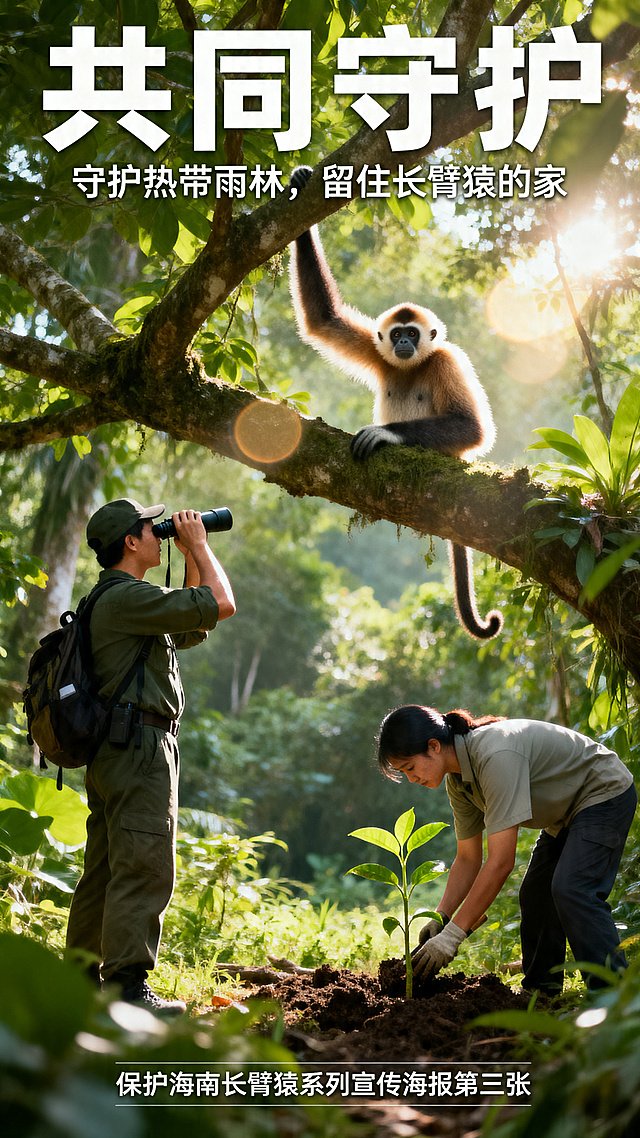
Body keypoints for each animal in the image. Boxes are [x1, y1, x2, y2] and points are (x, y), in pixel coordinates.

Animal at [288, 165, 503, 641]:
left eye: (414, 334)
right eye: (398, 334)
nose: (404, 343)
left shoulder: (446, 359)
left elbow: (475, 430)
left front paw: (386, 434)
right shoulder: (377, 349)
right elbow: (323, 319)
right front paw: (299, 185)